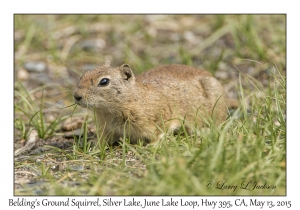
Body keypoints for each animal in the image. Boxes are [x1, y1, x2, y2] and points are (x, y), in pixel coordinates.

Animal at [74, 61, 226, 144]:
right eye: (83, 76)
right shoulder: (106, 128)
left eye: (104, 81)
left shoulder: (161, 119)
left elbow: (161, 132)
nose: (76, 96)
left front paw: (153, 145)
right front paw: (94, 143)